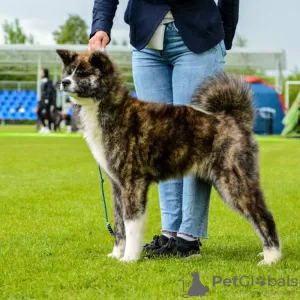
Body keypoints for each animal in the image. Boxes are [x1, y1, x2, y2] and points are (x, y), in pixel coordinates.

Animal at [57, 49, 282, 268]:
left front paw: (129, 259)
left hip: (233, 181)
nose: (64, 82)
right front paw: (116, 254)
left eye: (83, 73)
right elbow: (120, 227)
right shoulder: (117, 186)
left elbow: (131, 225)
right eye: (68, 72)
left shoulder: (133, 183)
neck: (113, 108)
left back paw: (272, 257)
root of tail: (235, 119)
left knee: (264, 216)